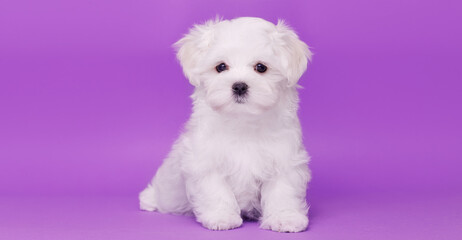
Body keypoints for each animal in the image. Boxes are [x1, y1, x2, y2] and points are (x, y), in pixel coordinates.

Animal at [140, 16, 314, 232]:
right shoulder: (204, 161)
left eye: (261, 67)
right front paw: (221, 217)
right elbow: (216, 191)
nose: (239, 86)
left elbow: (283, 191)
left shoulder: (285, 159)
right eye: (221, 67)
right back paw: (149, 199)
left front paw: (285, 218)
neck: (242, 121)